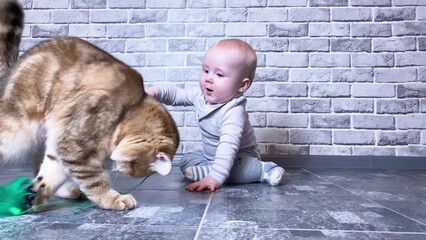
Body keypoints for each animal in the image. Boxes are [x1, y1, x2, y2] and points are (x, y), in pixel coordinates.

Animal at [0, 0, 180, 210]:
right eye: (134, 168)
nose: (118, 169)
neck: (128, 110)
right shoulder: (75, 145)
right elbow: (95, 180)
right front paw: (113, 198)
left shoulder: (61, 145)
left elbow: (50, 175)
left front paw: (34, 196)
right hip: (14, 132)